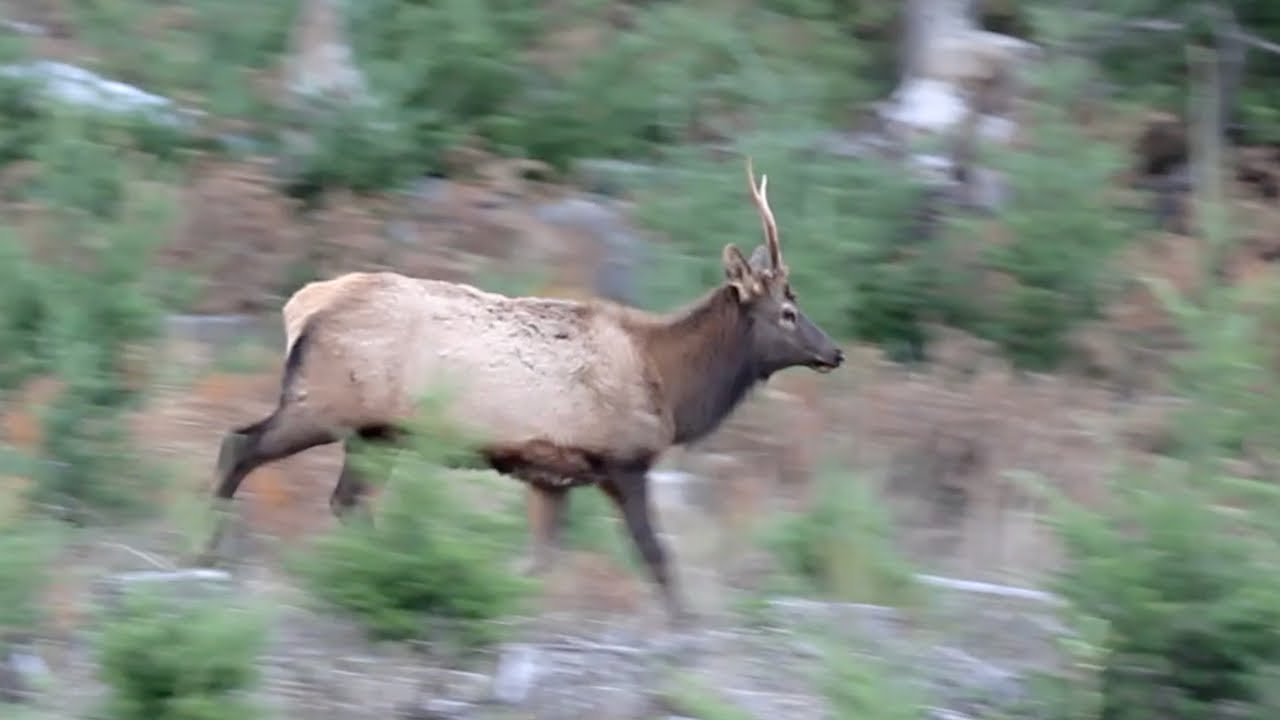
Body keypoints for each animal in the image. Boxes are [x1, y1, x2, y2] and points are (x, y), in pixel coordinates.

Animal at [195, 158, 845, 627]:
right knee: (240, 445)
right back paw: (207, 558)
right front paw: (687, 625)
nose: (834, 351)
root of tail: (300, 307)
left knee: (346, 500)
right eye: (788, 312)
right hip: (323, 401)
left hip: (376, 434)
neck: (672, 386)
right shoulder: (624, 460)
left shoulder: (551, 475)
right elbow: (655, 553)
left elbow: (541, 561)